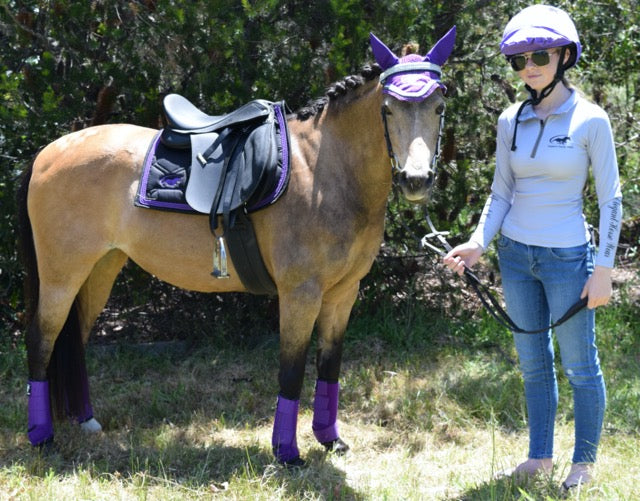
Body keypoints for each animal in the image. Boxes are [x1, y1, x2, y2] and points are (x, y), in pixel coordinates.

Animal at [15, 27, 456, 464]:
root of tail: (48, 153)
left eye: (439, 106)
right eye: (388, 108)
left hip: (100, 269)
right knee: (41, 340)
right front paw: (287, 452)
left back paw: (86, 422)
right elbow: (291, 370)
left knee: (74, 339)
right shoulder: (300, 294)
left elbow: (329, 365)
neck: (324, 169)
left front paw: (330, 439)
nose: (416, 180)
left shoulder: (344, 292)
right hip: (62, 274)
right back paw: (41, 437)